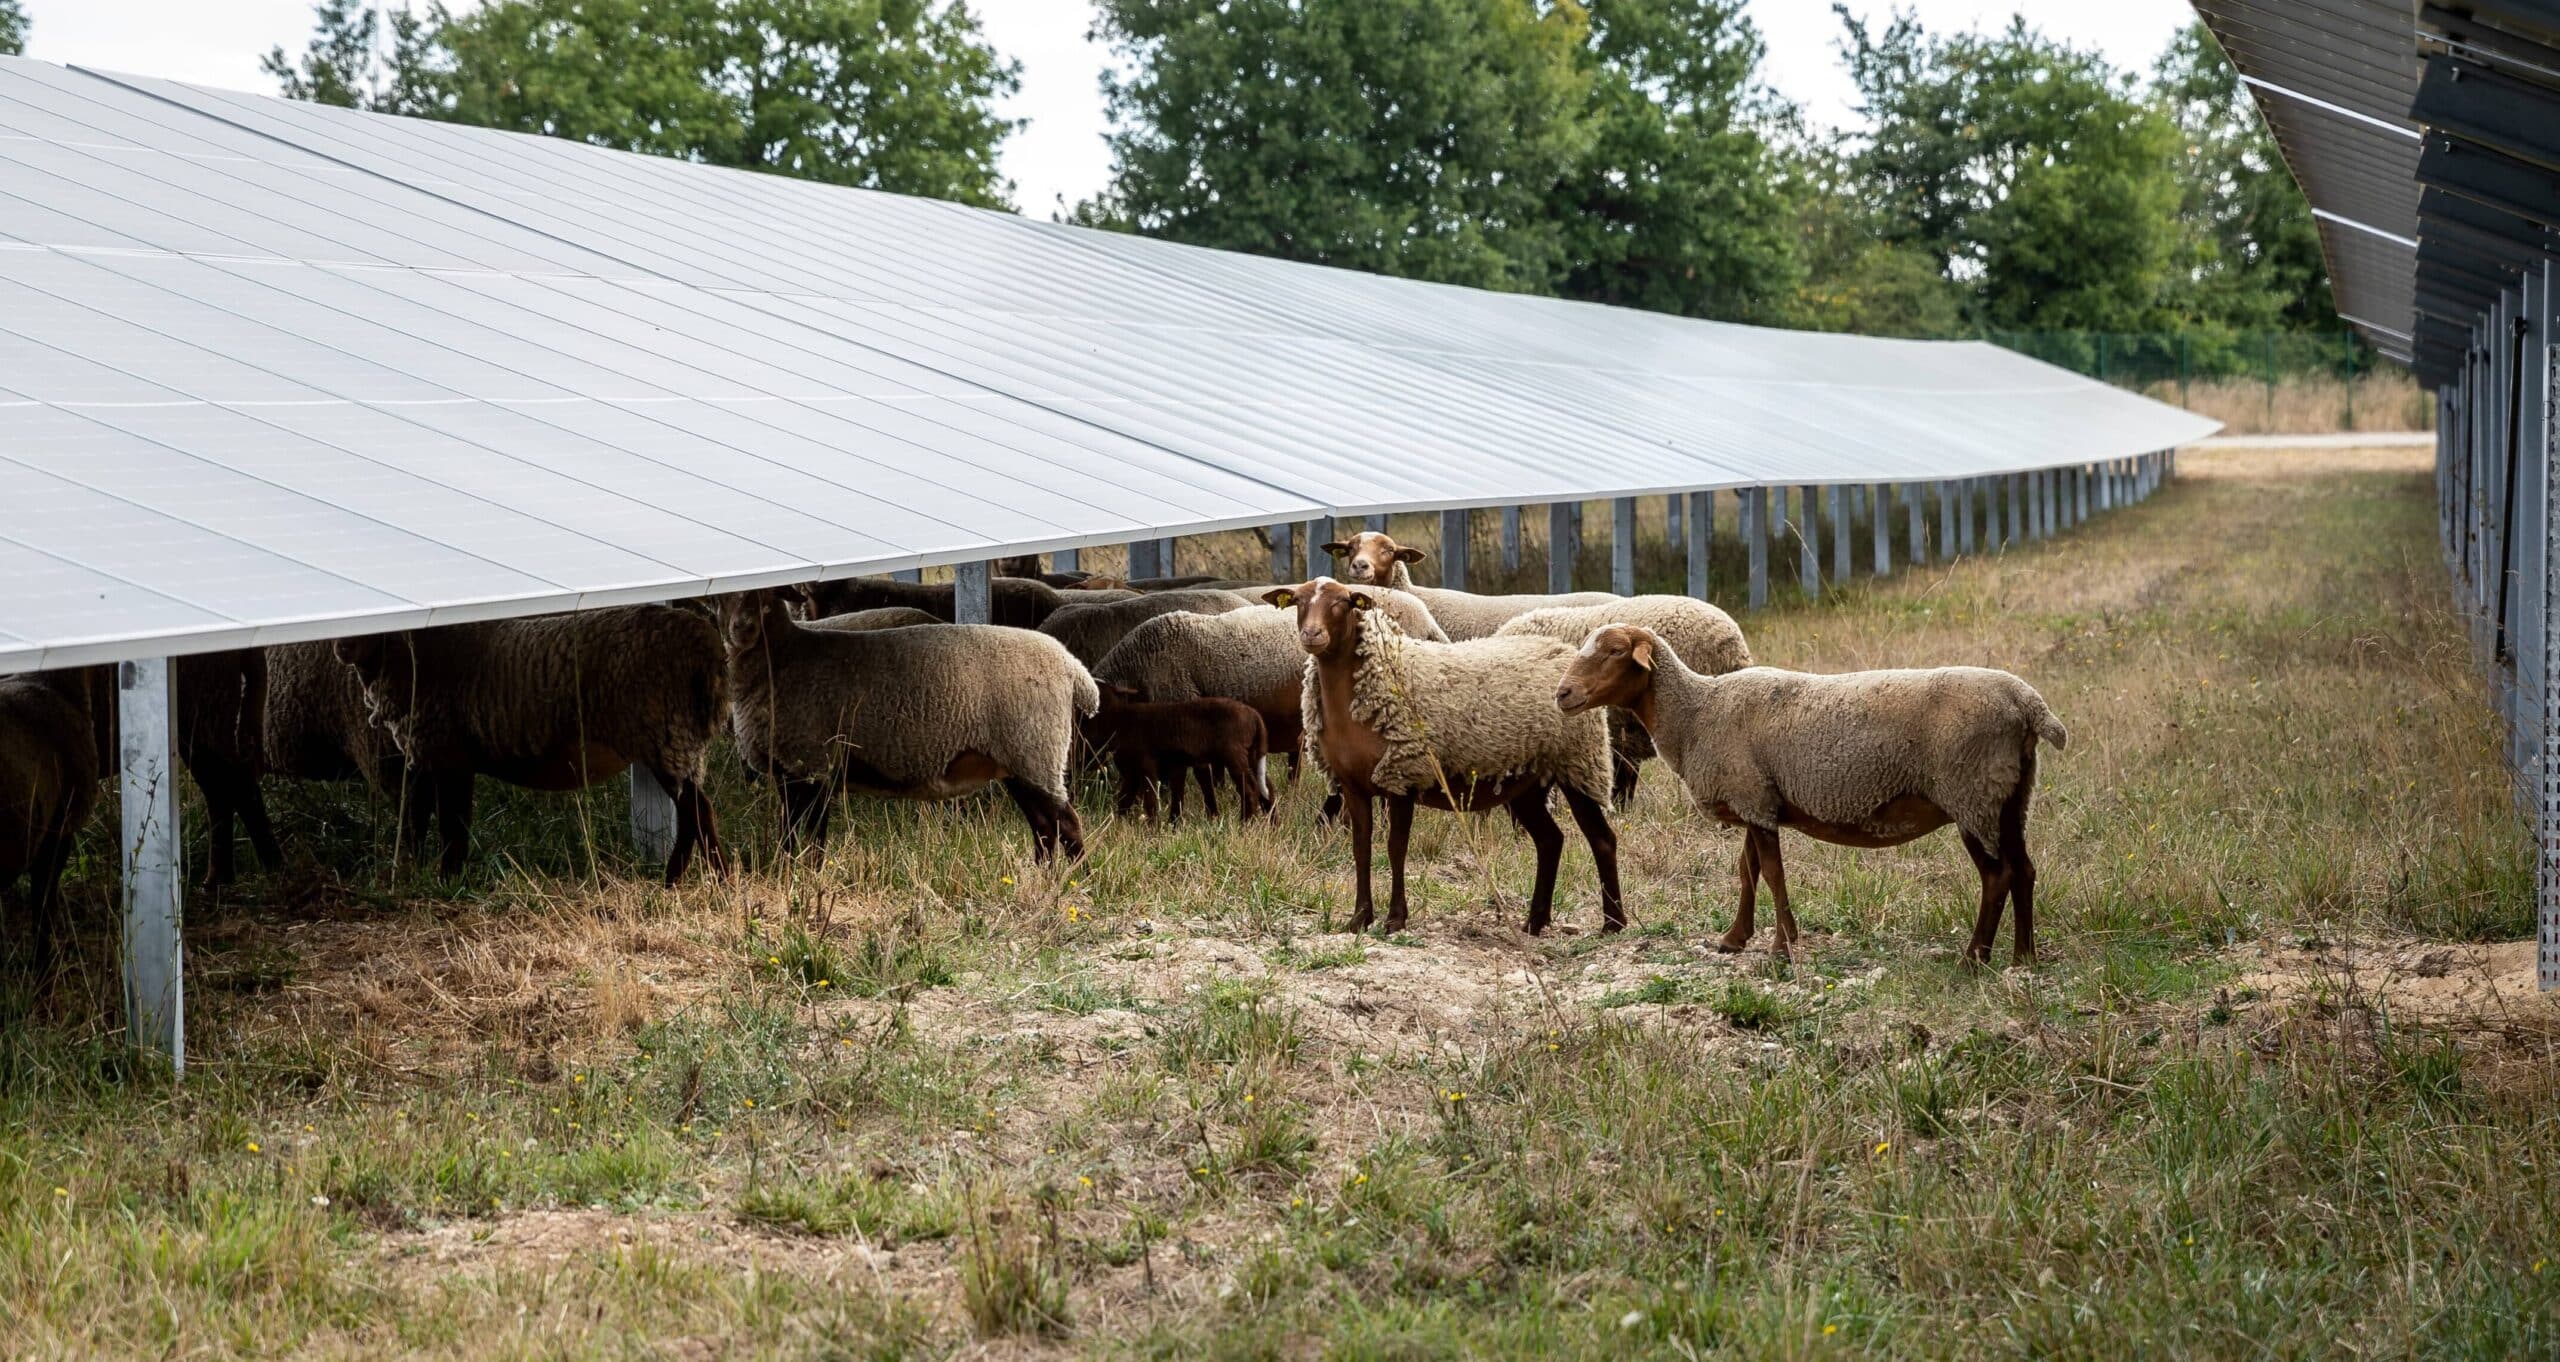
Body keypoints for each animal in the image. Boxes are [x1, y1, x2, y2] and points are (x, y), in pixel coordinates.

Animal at [333, 606, 730, 883]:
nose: (342, 646)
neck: (409, 656)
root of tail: (708, 648)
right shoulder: (425, 758)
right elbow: (417, 821)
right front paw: (415, 874)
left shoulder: (450, 756)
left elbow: (452, 826)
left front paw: (447, 880)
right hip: (675, 742)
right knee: (694, 813)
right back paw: (691, 879)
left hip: (667, 736)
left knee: (698, 811)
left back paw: (702, 879)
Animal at [722, 589, 1095, 861]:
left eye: (767, 597)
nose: (741, 628)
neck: (782, 654)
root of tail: (1073, 669)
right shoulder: (789, 772)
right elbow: (789, 834)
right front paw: (789, 871)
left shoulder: (814, 766)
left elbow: (814, 837)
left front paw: (809, 876)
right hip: (1018, 762)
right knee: (1044, 826)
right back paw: (1045, 878)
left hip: (1035, 750)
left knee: (1068, 824)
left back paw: (1077, 880)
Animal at [1083, 683, 1271, 823]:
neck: (1118, 720)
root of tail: (1255, 716)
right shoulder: (1132, 771)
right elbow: (1125, 799)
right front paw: (1119, 824)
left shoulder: (1146, 764)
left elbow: (1150, 799)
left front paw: (1153, 830)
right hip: (1252, 753)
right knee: (1264, 787)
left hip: (1234, 754)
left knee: (1250, 789)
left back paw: (1245, 824)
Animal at [1271, 578, 1622, 936]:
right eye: (1298, 601)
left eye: (1342, 602)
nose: (1311, 634)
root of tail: (1562, 651)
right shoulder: (1353, 785)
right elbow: (1361, 848)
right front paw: (1359, 918)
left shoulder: (1403, 776)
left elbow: (1396, 848)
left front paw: (1395, 919)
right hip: (1527, 783)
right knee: (1550, 840)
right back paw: (1534, 922)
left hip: (1578, 763)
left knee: (1602, 839)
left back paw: (1613, 922)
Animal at [1555, 624, 2066, 964]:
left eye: (1614, 651)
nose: (1562, 694)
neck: (1696, 713)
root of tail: (2028, 704)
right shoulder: (1755, 797)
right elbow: (1747, 872)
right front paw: (1734, 939)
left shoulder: (1753, 799)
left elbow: (1773, 874)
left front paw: (1782, 946)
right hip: (2010, 796)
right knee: (2024, 870)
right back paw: (2024, 957)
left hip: (1972, 794)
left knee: (1997, 876)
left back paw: (1974, 958)